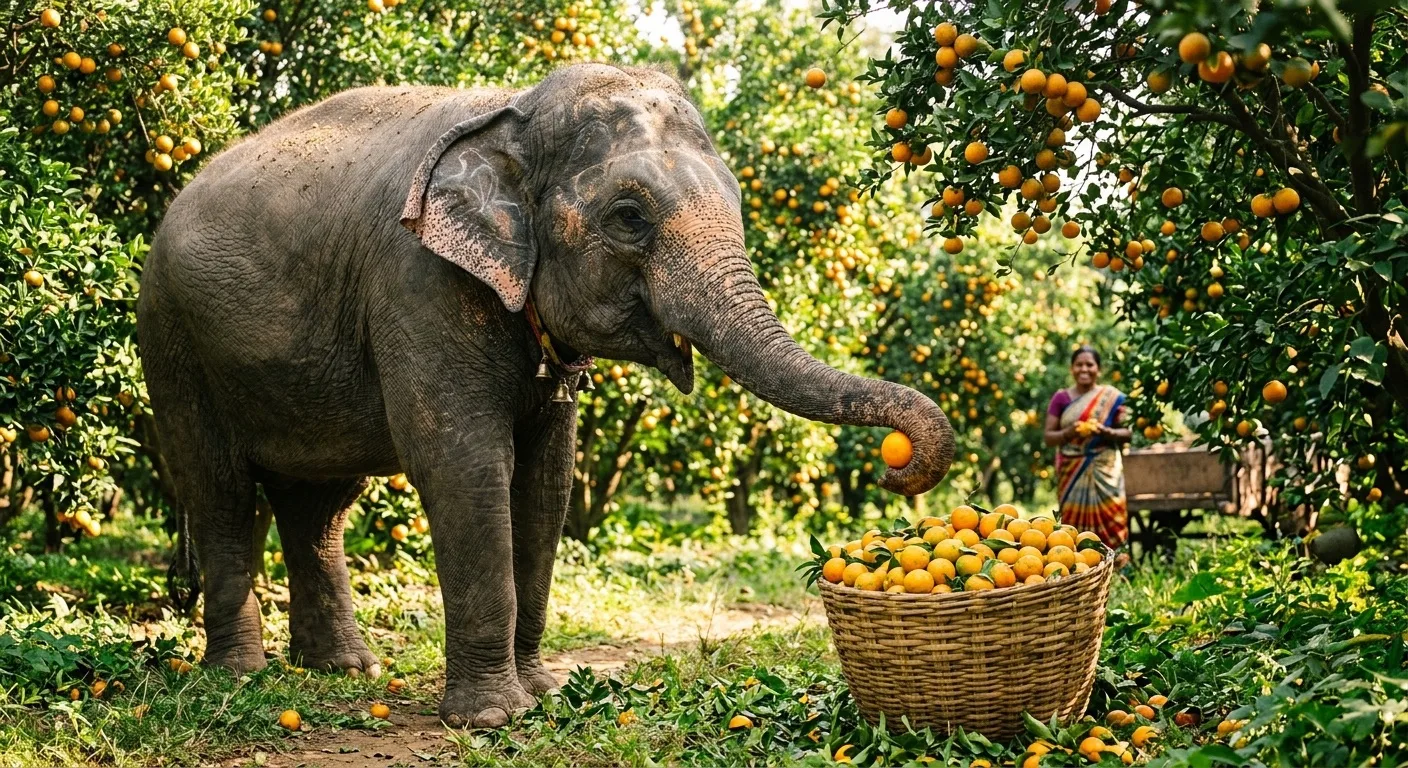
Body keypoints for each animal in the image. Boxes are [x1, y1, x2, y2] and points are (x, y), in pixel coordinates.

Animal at [136, 63, 955, 727]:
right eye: (629, 217)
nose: (898, 461)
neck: (515, 109)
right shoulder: (417, 281)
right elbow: (466, 466)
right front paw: (491, 720)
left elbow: (547, 481)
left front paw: (542, 696)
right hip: (171, 337)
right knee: (217, 489)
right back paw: (239, 676)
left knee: (320, 506)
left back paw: (344, 670)